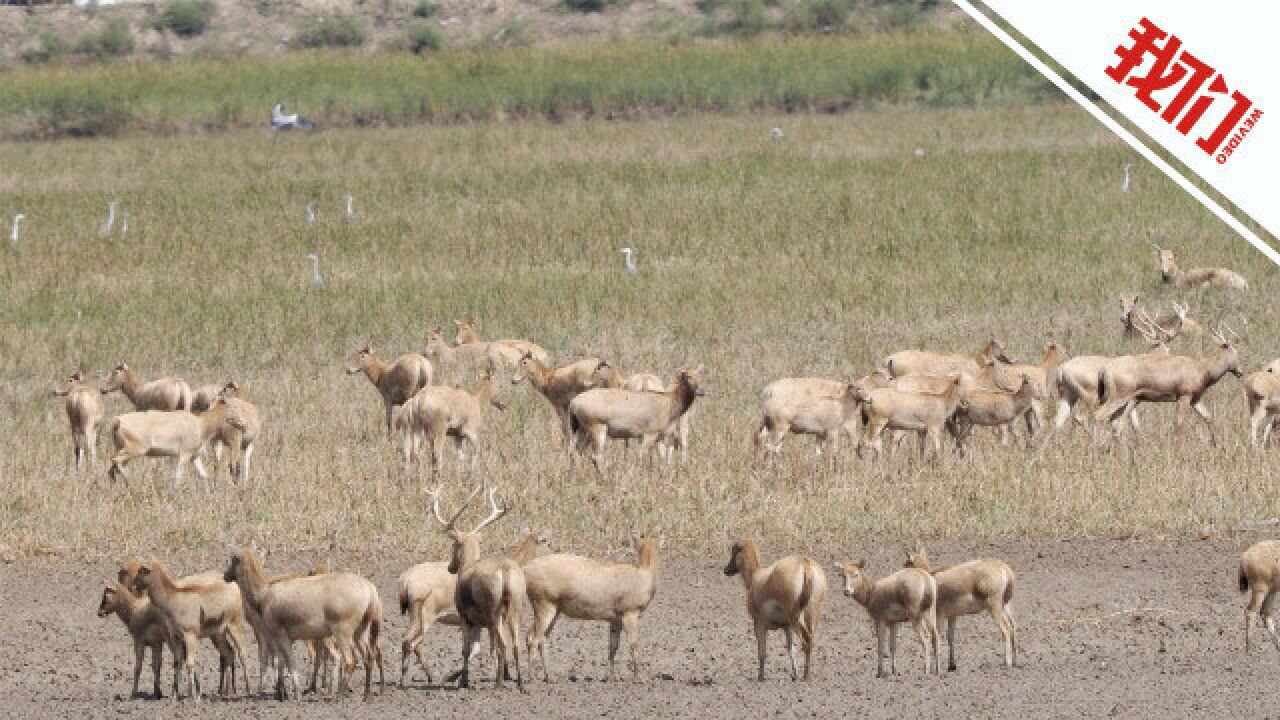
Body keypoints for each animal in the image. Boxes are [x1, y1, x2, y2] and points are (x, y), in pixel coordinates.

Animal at [727, 532, 824, 676]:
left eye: (735, 550)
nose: (726, 569)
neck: (757, 577)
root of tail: (804, 562)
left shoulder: (759, 624)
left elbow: (762, 652)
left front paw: (760, 677)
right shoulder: (786, 627)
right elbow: (790, 649)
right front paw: (794, 675)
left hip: (796, 617)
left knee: (806, 642)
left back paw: (805, 677)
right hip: (811, 615)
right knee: (810, 640)